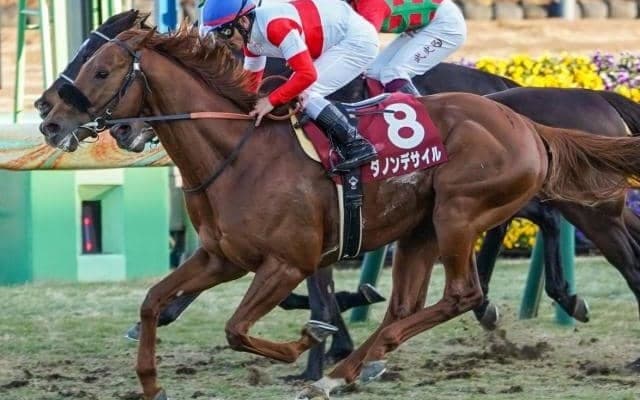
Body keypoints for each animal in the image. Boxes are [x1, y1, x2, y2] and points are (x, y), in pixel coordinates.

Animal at [39, 26, 640, 400]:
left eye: (101, 70)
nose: (48, 118)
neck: (235, 152)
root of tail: (526, 124)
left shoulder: (287, 262)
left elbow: (237, 328)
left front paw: (307, 342)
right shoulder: (220, 258)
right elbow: (152, 301)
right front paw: (150, 382)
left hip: (460, 212)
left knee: (463, 293)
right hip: (422, 228)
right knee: (405, 306)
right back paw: (345, 371)